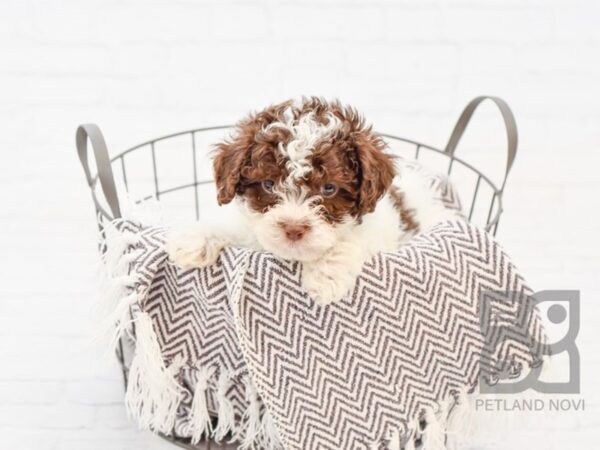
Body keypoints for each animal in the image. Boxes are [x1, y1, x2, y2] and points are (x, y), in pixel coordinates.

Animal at [166, 96, 458, 304]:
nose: (294, 229)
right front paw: (194, 240)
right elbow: (236, 224)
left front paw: (325, 276)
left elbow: (352, 238)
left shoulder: (379, 230)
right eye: (269, 184)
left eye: (328, 188)